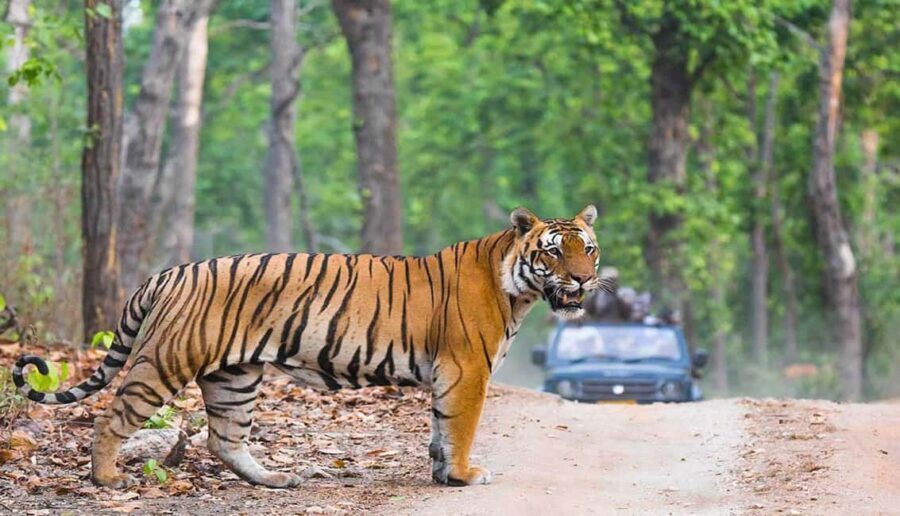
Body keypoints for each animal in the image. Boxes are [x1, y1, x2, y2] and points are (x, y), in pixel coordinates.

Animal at [13, 205, 605, 489]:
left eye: (590, 249)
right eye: (554, 252)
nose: (582, 281)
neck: (517, 289)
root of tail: (167, 272)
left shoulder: (450, 375)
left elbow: (440, 432)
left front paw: (442, 475)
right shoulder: (466, 371)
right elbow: (459, 429)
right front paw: (463, 476)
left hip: (234, 378)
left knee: (224, 439)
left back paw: (278, 479)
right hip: (166, 361)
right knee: (112, 416)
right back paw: (106, 477)